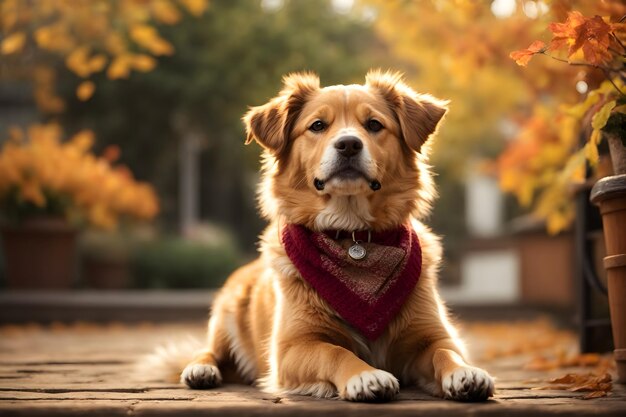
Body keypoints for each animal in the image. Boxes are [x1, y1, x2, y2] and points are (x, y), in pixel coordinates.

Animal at [176, 70, 492, 400]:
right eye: (317, 125)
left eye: (374, 125)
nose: (349, 144)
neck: (352, 236)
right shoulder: (293, 347)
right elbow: (335, 352)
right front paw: (365, 376)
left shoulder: (431, 334)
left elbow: (446, 352)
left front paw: (464, 372)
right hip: (226, 315)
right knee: (210, 350)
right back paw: (201, 370)